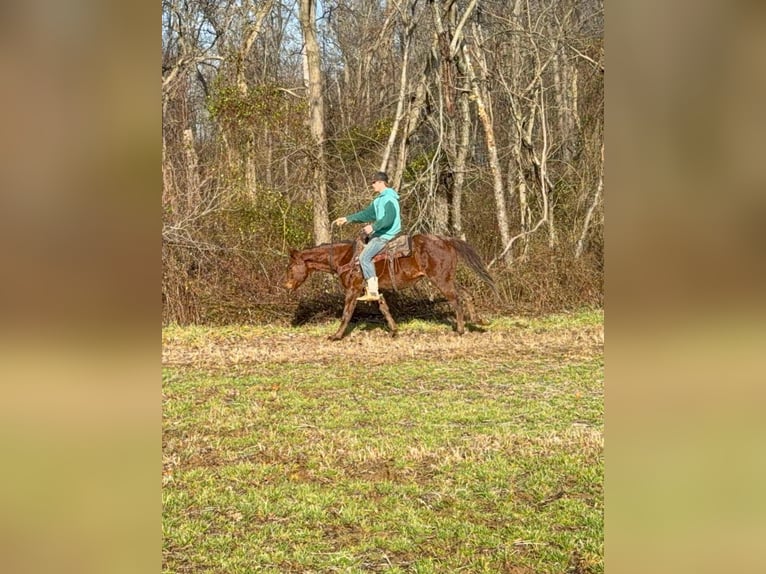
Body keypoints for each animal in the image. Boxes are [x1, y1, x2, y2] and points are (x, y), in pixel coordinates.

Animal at [284, 233, 497, 340]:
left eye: (291, 267)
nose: (286, 286)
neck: (345, 257)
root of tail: (446, 241)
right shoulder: (375, 290)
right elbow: (384, 308)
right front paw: (394, 331)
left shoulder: (353, 289)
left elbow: (347, 313)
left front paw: (335, 336)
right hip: (447, 277)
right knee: (466, 294)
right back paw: (478, 321)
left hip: (441, 279)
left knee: (455, 299)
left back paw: (460, 329)